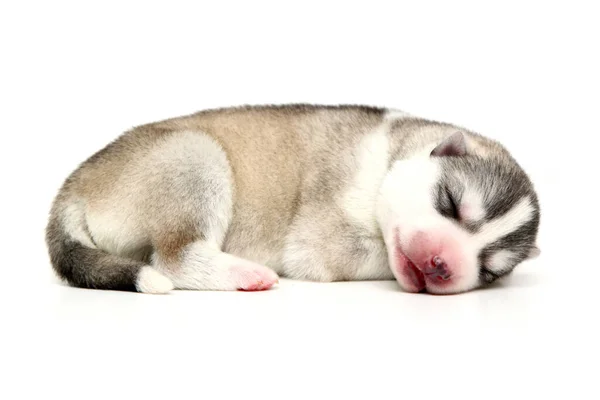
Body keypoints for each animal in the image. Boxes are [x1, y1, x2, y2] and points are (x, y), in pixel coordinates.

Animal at [44, 104, 540, 296]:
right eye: (450, 201)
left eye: (489, 270)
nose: (442, 265)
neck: (390, 157)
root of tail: (73, 184)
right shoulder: (320, 242)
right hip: (195, 157)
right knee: (173, 258)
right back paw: (244, 274)